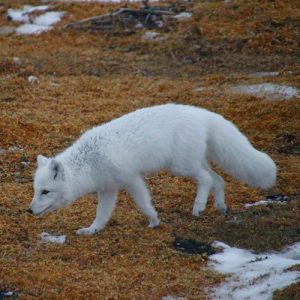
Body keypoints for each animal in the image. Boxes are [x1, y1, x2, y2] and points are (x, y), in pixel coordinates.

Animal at [28, 104, 276, 236]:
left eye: (45, 191)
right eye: (36, 190)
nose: (28, 211)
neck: (89, 162)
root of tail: (200, 112)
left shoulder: (131, 179)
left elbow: (142, 203)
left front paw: (154, 221)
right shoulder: (108, 188)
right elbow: (101, 215)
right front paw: (91, 230)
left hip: (180, 166)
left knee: (206, 179)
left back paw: (198, 207)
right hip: (192, 163)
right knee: (218, 179)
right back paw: (220, 207)